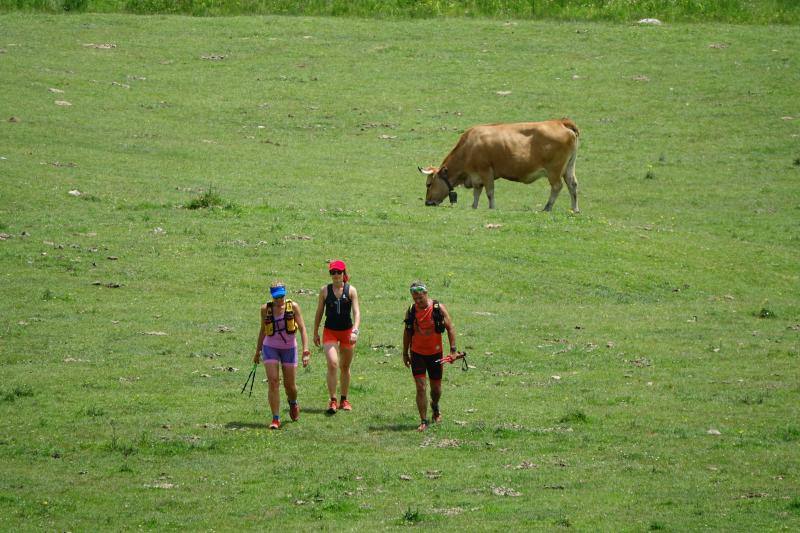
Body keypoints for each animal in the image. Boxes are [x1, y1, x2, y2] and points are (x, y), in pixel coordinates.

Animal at [418, 118, 580, 212]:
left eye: (428, 184)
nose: (427, 202)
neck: (469, 146)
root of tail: (560, 122)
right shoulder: (476, 176)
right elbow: (477, 192)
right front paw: (474, 206)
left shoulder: (486, 171)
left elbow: (489, 192)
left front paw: (491, 207)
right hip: (569, 167)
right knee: (572, 185)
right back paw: (575, 209)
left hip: (554, 170)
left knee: (557, 186)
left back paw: (547, 207)